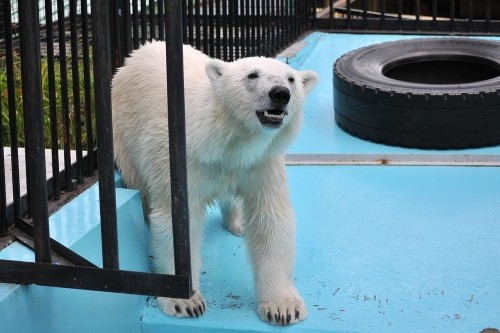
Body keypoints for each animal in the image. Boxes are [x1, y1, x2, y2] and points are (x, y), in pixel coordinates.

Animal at [112, 41, 318, 324]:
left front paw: (283, 307)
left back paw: (238, 222)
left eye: (291, 79)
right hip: (125, 134)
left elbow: (270, 218)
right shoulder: (181, 163)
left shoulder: (260, 163)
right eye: (252, 75)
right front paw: (185, 302)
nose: (280, 94)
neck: (225, 138)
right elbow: (177, 222)